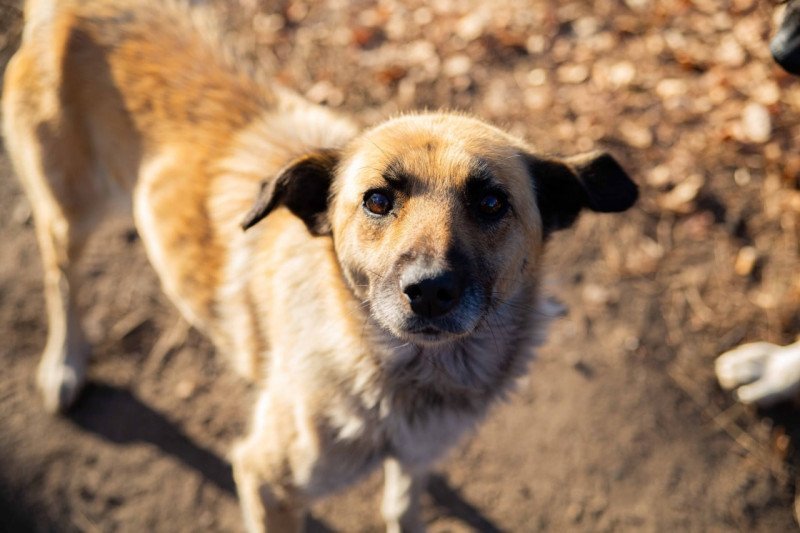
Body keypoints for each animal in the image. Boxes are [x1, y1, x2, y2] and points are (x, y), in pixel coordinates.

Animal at [1, 1, 636, 528]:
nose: (429, 291)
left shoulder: (417, 458)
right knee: (61, 280)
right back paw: (65, 364)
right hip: (71, 213)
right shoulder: (266, 481)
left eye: (491, 203)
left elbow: (403, 505)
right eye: (376, 200)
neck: (407, 376)